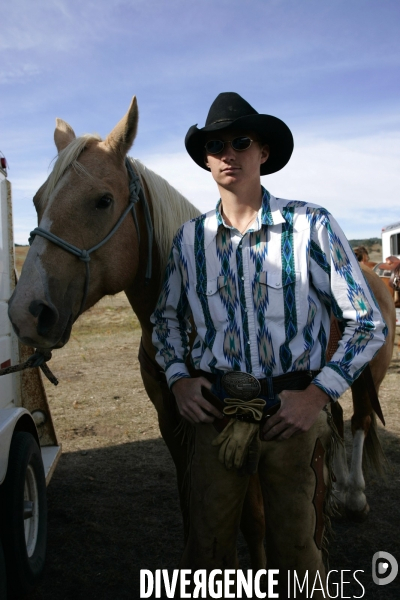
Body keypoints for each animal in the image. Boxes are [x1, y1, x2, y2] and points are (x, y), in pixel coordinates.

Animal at [7, 97, 396, 568]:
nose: (26, 312)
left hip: (367, 373)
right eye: (36, 200)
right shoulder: (174, 421)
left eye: (102, 200)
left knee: (359, 423)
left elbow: (255, 518)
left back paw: (353, 496)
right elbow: (192, 506)